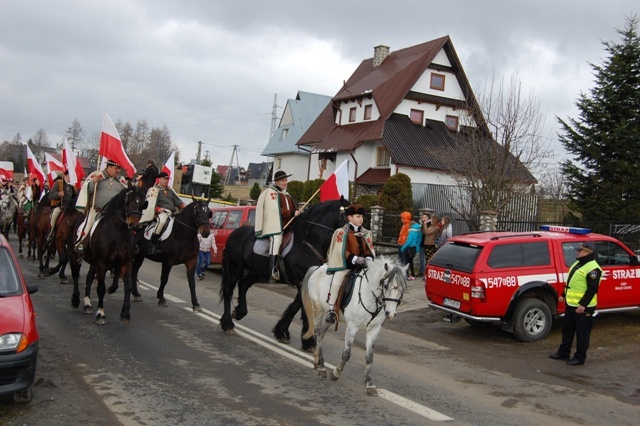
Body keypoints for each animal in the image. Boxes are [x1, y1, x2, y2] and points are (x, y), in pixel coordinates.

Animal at [70, 184, 146, 326]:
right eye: (128, 201)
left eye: (143, 203)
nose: (134, 224)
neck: (118, 232)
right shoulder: (102, 263)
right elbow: (101, 288)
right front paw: (101, 314)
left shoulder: (126, 262)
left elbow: (127, 286)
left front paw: (125, 314)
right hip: (74, 255)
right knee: (75, 274)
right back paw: (75, 299)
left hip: (93, 263)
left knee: (89, 278)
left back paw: (87, 304)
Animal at [220, 198, 350, 352]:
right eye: (350, 213)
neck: (308, 240)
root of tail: (235, 233)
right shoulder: (301, 281)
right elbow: (300, 307)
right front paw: (305, 340)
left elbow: (297, 307)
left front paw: (286, 333)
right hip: (235, 268)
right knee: (228, 291)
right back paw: (227, 324)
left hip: (257, 272)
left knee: (243, 285)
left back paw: (239, 312)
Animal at [302, 255, 408, 398]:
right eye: (385, 285)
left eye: (403, 287)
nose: (390, 314)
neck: (371, 295)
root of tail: (317, 268)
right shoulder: (352, 327)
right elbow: (346, 354)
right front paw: (335, 373)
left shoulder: (374, 329)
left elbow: (369, 357)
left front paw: (369, 384)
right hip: (317, 309)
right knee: (318, 333)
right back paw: (322, 368)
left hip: (329, 318)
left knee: (322, 334)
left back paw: (317, 360)